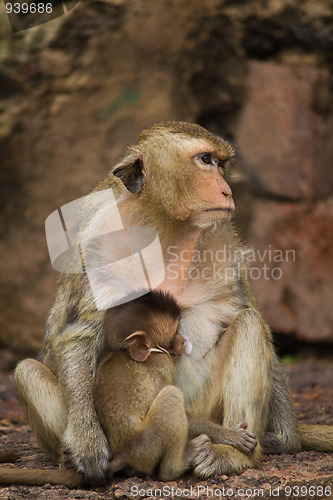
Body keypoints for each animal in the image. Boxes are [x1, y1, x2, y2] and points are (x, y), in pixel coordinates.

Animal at [14, 121, 330, 480]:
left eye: (221, 164)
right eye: (205, 160)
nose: (226, 191)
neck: (164, 224)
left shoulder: (224, 239)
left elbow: (244, 308)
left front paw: (288, 434)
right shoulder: (97, 236)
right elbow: (79, 331)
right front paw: (87, 442)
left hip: (206, 408)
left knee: (248, 324)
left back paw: (233, 455)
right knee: (27, 370)